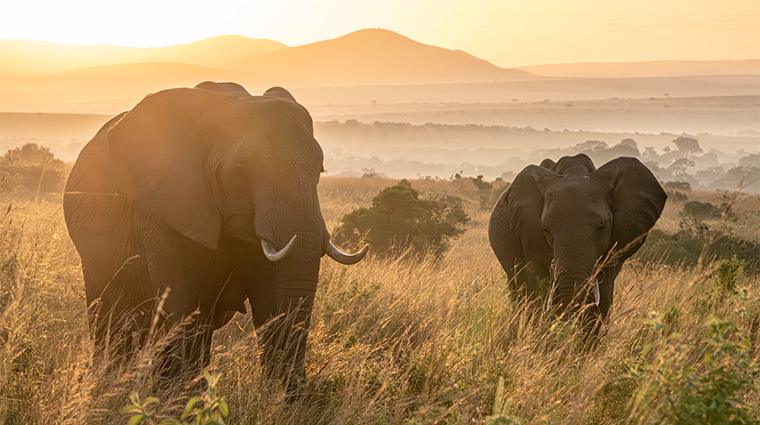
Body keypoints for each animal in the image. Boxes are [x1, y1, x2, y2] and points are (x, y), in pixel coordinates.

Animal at [63, 82, 367, 383]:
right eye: (240, 172)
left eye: (320, 171)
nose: (305, 387)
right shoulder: (165, 209)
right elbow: (183, 305)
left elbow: (270, 303)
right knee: (111, 318)